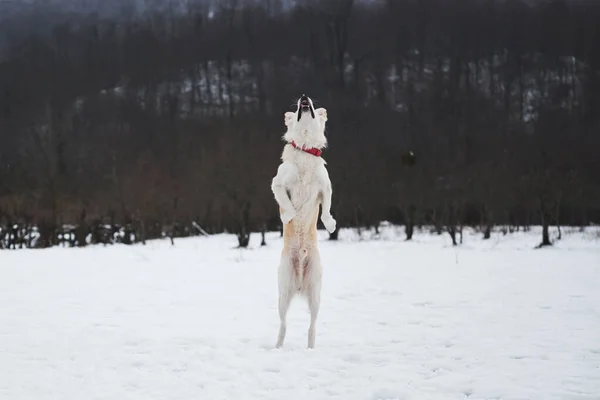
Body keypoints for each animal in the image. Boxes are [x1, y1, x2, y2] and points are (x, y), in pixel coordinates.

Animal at [272, 94, 338, 350]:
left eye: (311, 102)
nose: (303, 96)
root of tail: (299, 282)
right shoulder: (278, 184)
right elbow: (286, 202)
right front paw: (288, 216)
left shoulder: (326, 187)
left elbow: (326, 208)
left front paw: (330, 225)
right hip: (283, 293)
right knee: (283, 324)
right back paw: (278, 346)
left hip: (316, 293)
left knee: (312, 325)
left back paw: (311, 348)